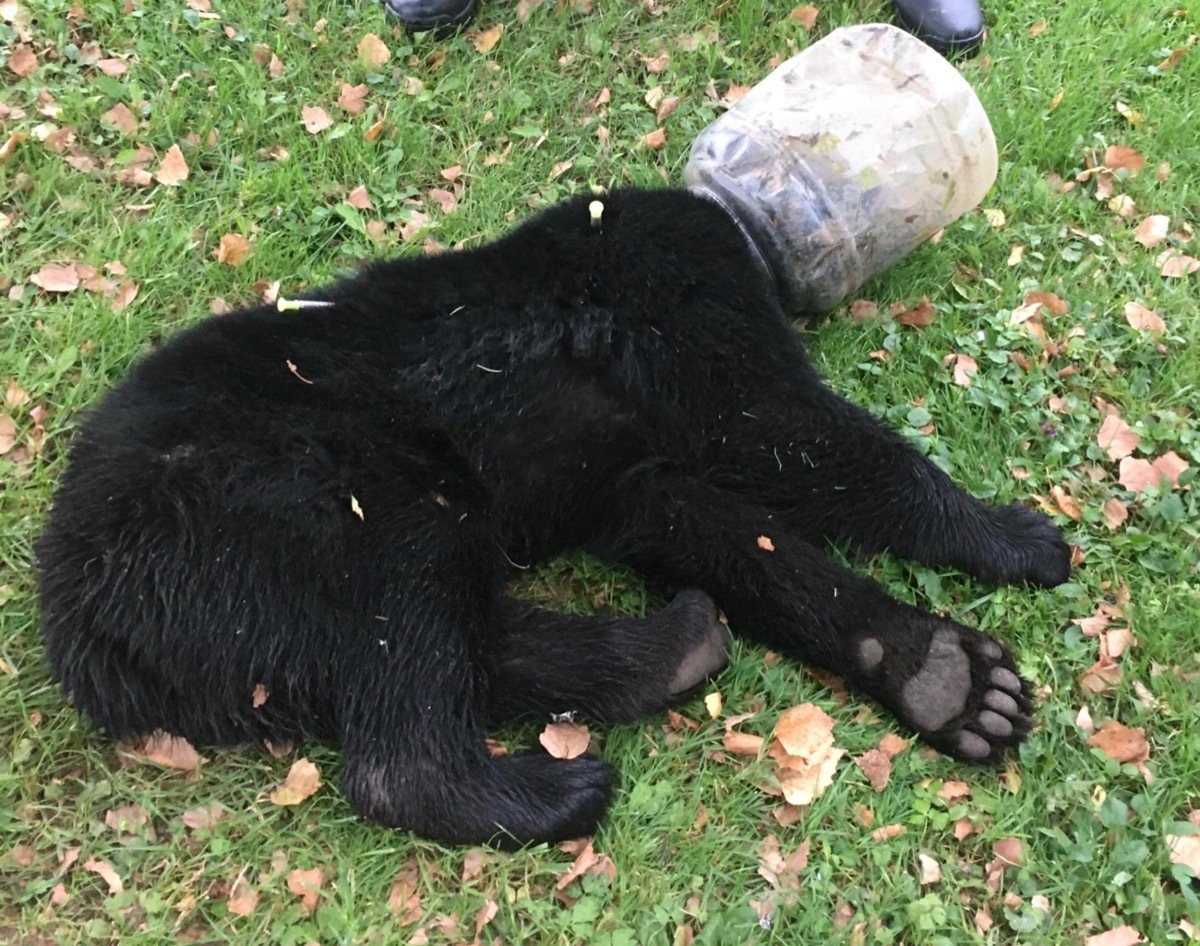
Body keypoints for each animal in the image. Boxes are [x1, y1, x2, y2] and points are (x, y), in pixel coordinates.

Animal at [36, 187, 1071, 848]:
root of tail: (79, 609)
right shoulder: (676, 279)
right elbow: (777, 427)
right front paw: (1010, 538)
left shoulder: (623, 476)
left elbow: (717, 525)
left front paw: (940, 673)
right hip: (305, 485)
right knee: (407, 644)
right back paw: (549, 792)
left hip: (247, 603)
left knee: (457, 636)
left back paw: (675, 646)